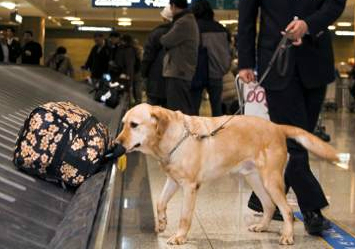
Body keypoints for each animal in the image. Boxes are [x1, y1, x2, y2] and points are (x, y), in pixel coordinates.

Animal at [116, 102, 340, 245]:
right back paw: (262, 227)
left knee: (287, 210)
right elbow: (160, 202)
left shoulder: (189, 186)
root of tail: (277, 127)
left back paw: (288, 236)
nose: (117, 143)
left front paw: (180, 237)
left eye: (134, 125)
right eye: (123, 123)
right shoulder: (172, 180)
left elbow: (184, 217)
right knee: (269, 205)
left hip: (271, 180)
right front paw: (162, 222)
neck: (176, 137)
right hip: (254, 178)